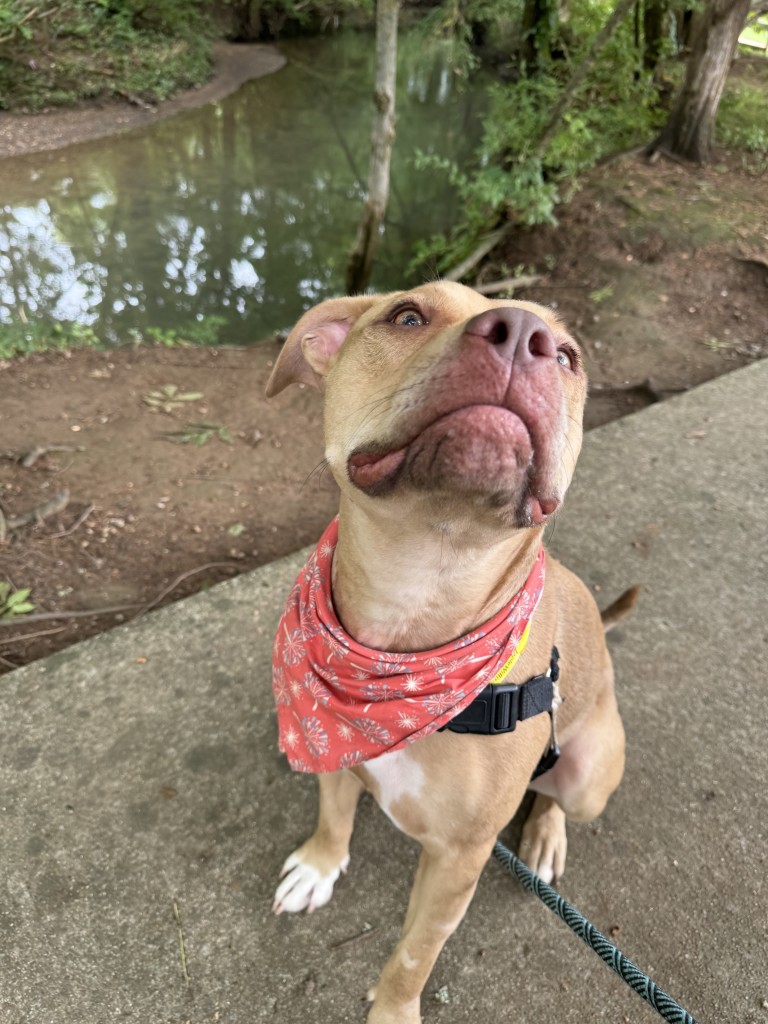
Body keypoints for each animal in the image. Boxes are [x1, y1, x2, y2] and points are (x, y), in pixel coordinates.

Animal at [268, 282, 626, 1024]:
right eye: (407, 315)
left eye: (568, 354)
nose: (521, 334)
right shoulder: (333, 754)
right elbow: (334, 811)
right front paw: (319, 864)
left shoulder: (459, 861)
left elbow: (414, 953)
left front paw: (392, 1010)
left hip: (587, 776)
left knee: (558, 794)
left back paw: (546, 836)